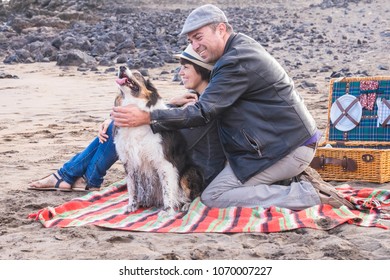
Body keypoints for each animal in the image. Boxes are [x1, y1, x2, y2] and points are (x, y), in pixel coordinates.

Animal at [114, 65, 203, 213]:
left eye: (137, 74)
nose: (121, 67)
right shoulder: (129, 162)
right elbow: (131, 187)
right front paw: (132, 205)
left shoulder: (164, 162)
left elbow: (167, 188)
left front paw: (167, 210)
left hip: (188, 172)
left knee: (194, 195)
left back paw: (185, 205)